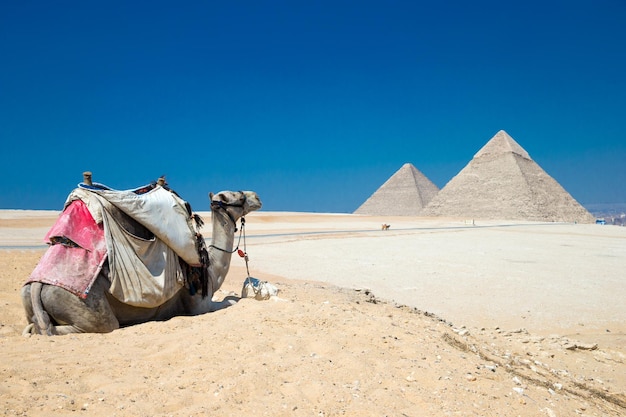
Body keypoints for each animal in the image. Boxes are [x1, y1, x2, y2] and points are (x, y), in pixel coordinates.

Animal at [20, 189, 260, 334]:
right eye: (238, 196)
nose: (256, 196)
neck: (209, 268)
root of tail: (38, 283)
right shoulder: (198, 305)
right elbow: (230, 302)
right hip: (83, 305)